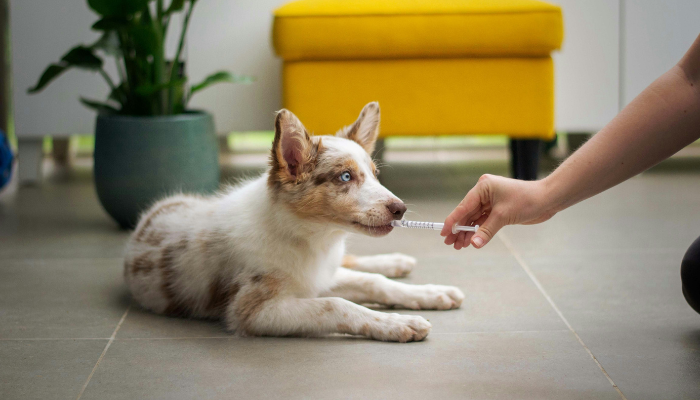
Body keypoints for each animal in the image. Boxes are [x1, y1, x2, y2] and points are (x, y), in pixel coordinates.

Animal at [124, 101, 464, 342]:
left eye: (375, 175)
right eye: (345, 177)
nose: (400, 209)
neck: (309, 237)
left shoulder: (319, 276)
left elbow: (373, 282)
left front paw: (429, 294)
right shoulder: (254, 311)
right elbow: (337, 304)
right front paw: (398, 323)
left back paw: (396, 262)